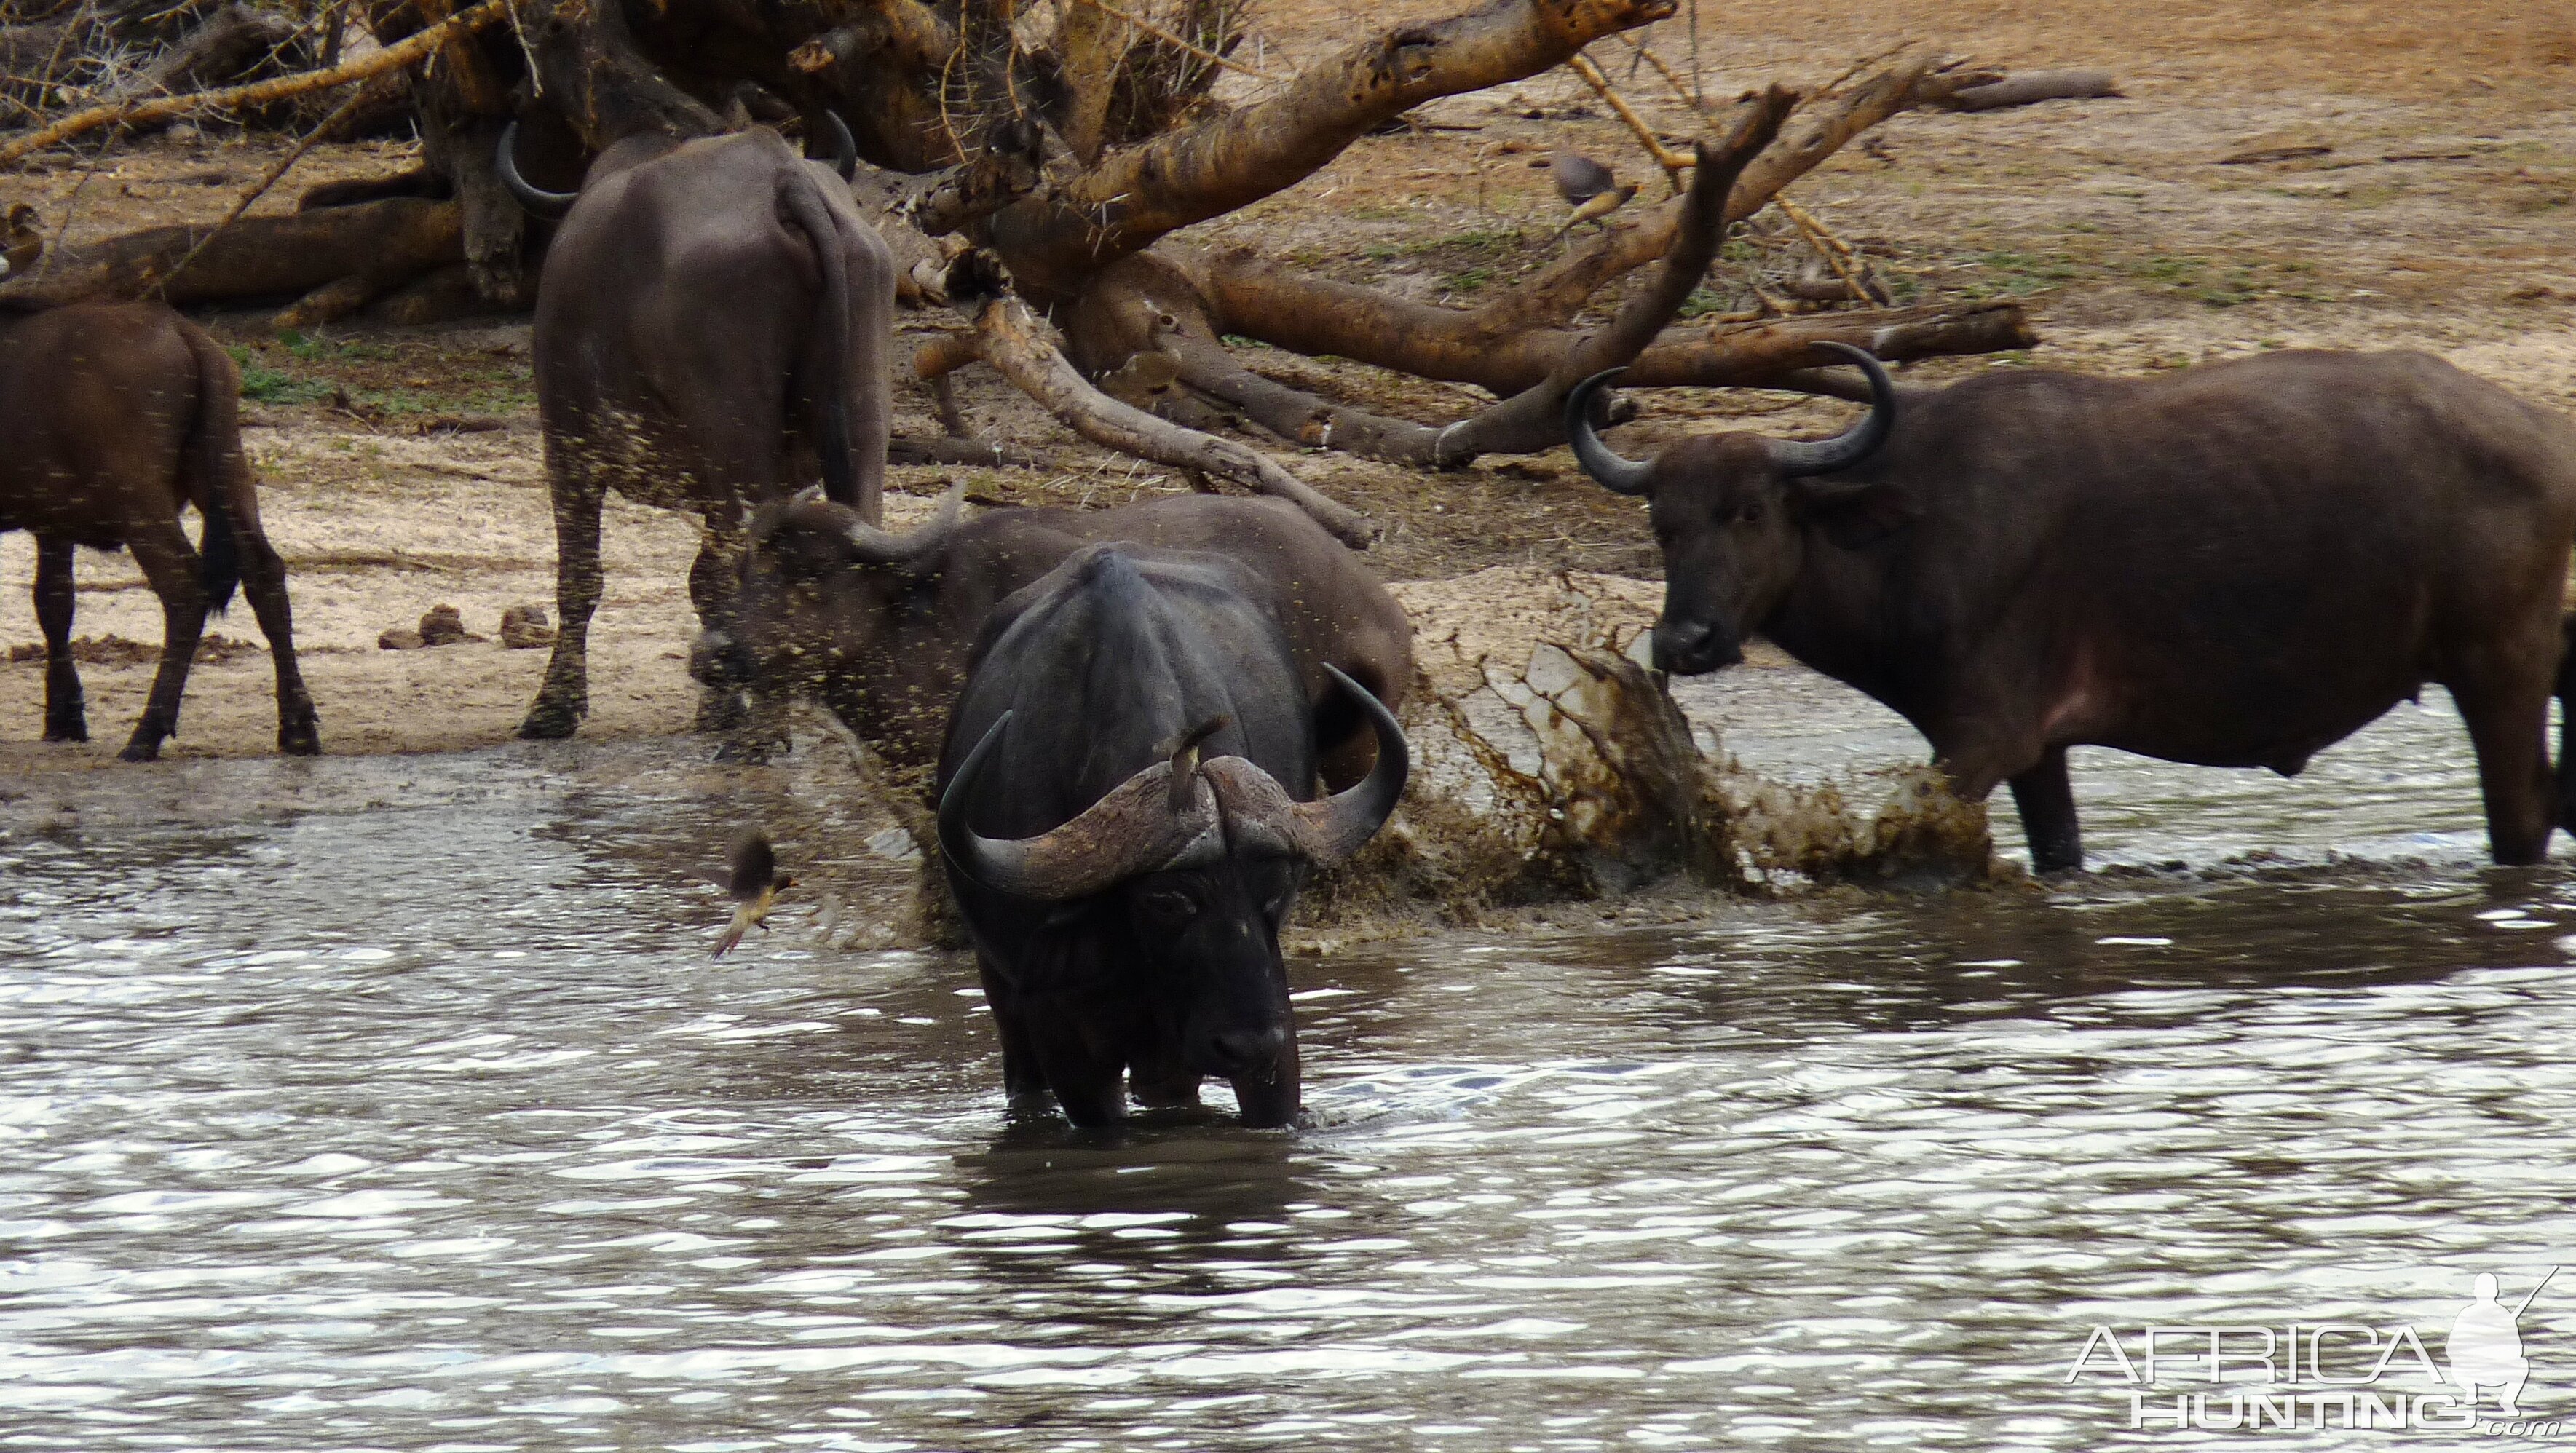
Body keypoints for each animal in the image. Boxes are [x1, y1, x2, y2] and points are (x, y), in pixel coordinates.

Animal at [2, 302, 322, 767]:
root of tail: (178, 328)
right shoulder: (52, 520)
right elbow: (54, 601)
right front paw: (65, 716)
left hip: (139, 496)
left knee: (185, 588)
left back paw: (146, 732)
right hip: (225, 466)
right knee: (265, 574)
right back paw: (297, 727)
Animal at [497, 114, 901, 747]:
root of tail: (783, 179)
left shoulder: (569, 449)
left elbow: (582, 577)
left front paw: (554, 706)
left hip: (736, 447)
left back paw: (760, 735)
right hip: (862, 419)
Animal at [731, 491, 1411, 788]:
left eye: (813, 573)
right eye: (750, 567)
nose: (719, 652)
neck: (920, 610)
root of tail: (1381, 606)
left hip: (1358, 748)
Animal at [937, 546, 1411, 1123]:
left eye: (1275, 889)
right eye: (1165, 901)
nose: (1249, 1044)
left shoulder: (1272, 1027)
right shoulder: (1066, 1039)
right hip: (1001, 990)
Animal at [1555, 345, 2576, 871]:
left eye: (1750, 510)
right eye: (1662, 523)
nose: (1685, 640)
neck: (1909, 532)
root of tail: (2542, 430)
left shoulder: (1982, 738)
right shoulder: (2037, 749)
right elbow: (2059, 849)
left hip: (2497, 666)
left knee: (2524, 813)